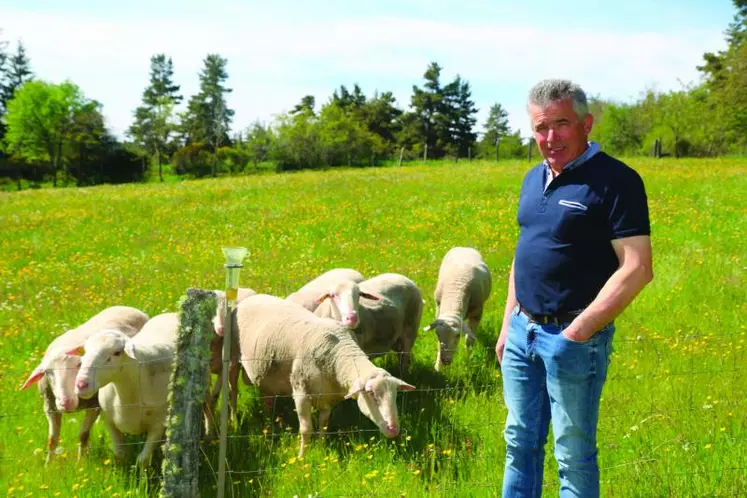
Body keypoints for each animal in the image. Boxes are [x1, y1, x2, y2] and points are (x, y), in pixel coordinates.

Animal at [20, 306, 149, 464]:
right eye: (48, 372)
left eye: (79, 365)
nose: (66, 402)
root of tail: (127, 307)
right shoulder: (50, 407)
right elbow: (52, 439)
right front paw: (48, 464)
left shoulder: (94, 406)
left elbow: (83, 434)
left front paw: (81, 461)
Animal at [72, 314, 183, 464]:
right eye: (85, 351)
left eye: (117, 353)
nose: (81, 385)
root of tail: (171, 314)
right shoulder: (109, 421)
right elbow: (119, 454)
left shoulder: (158, 425)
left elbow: (143, 459)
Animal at [234, 294, 414, 458]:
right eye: (371, 394)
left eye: (396, 395)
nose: (393, 430)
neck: (337, 354)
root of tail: (253, 296)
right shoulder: (301, 392)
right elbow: (306, 429)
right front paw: (301, 458)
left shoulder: (327, 396)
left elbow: (324, 424)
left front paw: (321, 448)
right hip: (232, 363)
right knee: (232, 394)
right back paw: (234, 420)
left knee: (267, 398)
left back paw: (267, 422)